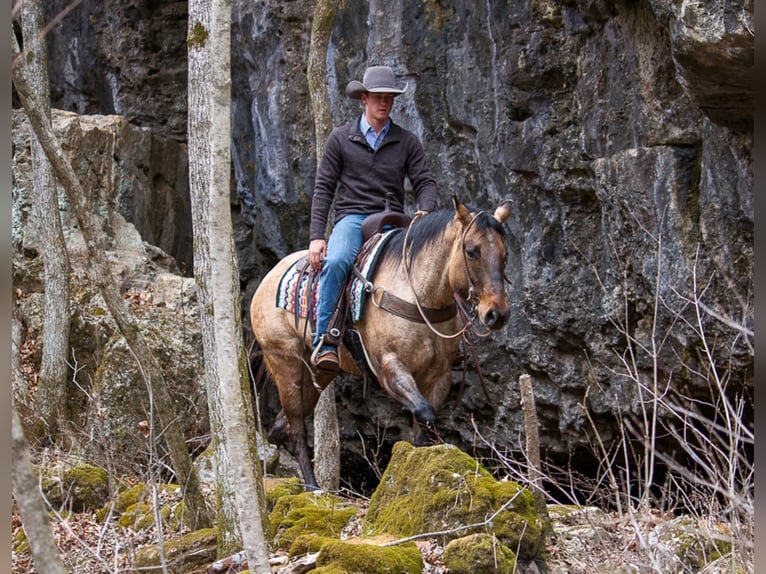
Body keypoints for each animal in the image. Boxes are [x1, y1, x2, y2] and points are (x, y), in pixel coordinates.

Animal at [252, 197, 512, 490]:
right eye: (471, 251)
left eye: (505, 255)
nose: (497, 314)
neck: (418, 296)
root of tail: (269, 277)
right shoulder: (389, 367)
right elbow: (425, 413)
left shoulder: (439, 375)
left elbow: (424, 427)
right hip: (285, 363)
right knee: (296, 426)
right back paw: (312, 486)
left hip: (318, 372)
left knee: (283, 423)